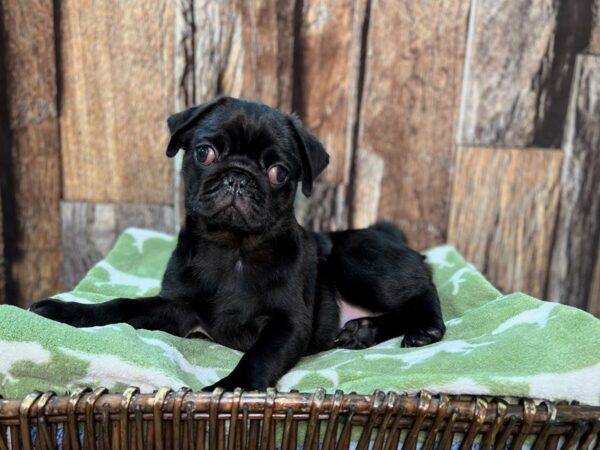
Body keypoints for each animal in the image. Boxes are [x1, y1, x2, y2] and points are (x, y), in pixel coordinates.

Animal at [31, 96, 446, 390]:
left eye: (279, 172)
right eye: (204, 152)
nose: (238, 176)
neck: (234, 250)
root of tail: (390, 235)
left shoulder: (287, 324)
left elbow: (259, 355)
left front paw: (230, 388)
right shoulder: (178, 308)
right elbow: (122, 305)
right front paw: (66, 311)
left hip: (354, 258)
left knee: (423, 291)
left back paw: (426, 329)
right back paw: (363, 332)